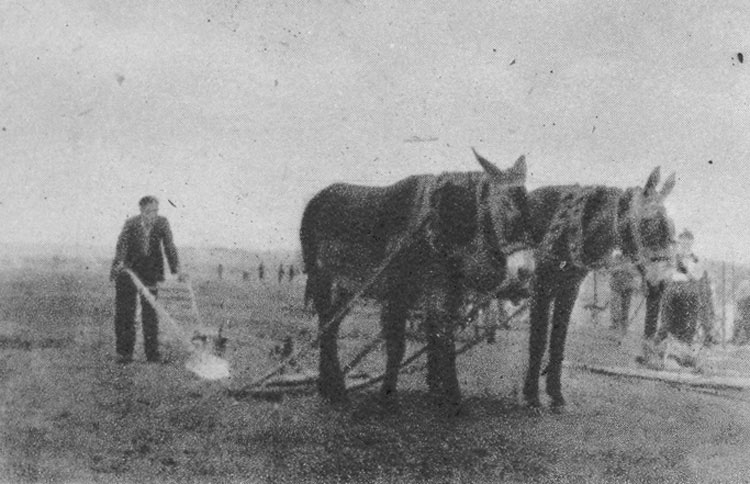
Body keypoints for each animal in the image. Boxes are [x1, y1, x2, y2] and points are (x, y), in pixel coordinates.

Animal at [300, 150, 535, 407]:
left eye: (528, 205)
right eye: (505, 206)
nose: (525, 271)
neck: (438, 224)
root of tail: (318, 198)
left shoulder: (447, 292)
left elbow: (442, 339)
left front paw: (445, 396)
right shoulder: (397, 292)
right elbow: (398, 346)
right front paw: (387, 396)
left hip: (349, 287)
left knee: (331, 324)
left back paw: (328, 387)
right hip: (320, 276)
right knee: (325, 322)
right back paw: (336, 390)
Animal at [523, 168, 676, 409]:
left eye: (670, 227)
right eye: (647, 223)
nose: (660, 285)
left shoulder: (568, 290)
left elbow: (558, 341)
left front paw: (555, 393)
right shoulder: (540, 287)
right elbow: (538, 341)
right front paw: (531, 395)